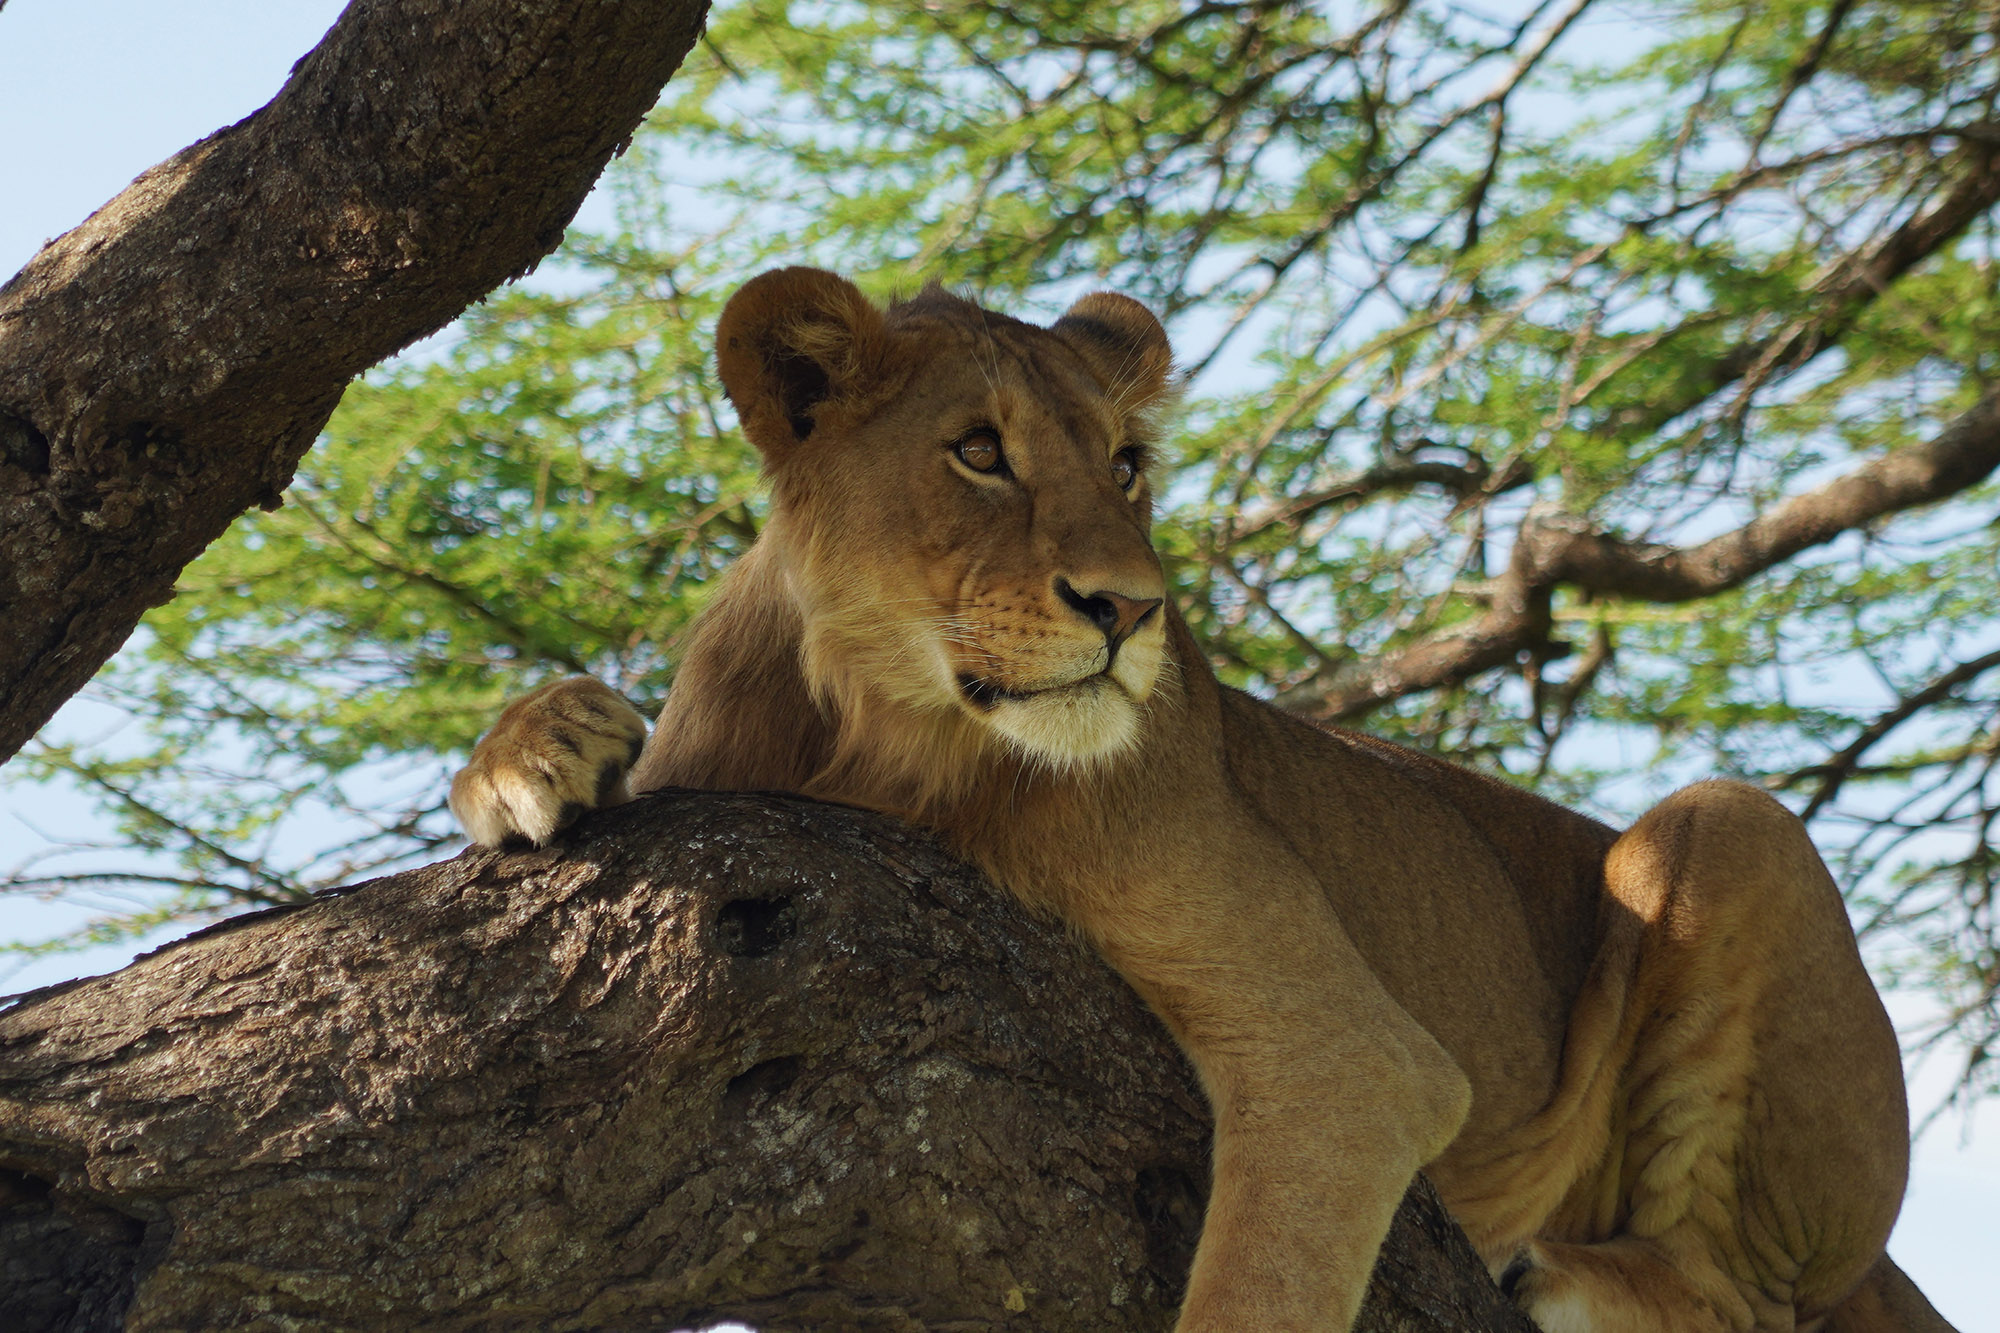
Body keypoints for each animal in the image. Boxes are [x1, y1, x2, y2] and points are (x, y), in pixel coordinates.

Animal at [449, 267, 1954, 1333]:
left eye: (1126, 464)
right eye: (978, 452)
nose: (1130, 609)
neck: (881, 738)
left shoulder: (1351, 1055)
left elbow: (1263, 1282)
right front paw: (534, 752)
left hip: (1723, 827)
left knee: (1756, 1296)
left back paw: (1569, 1278)